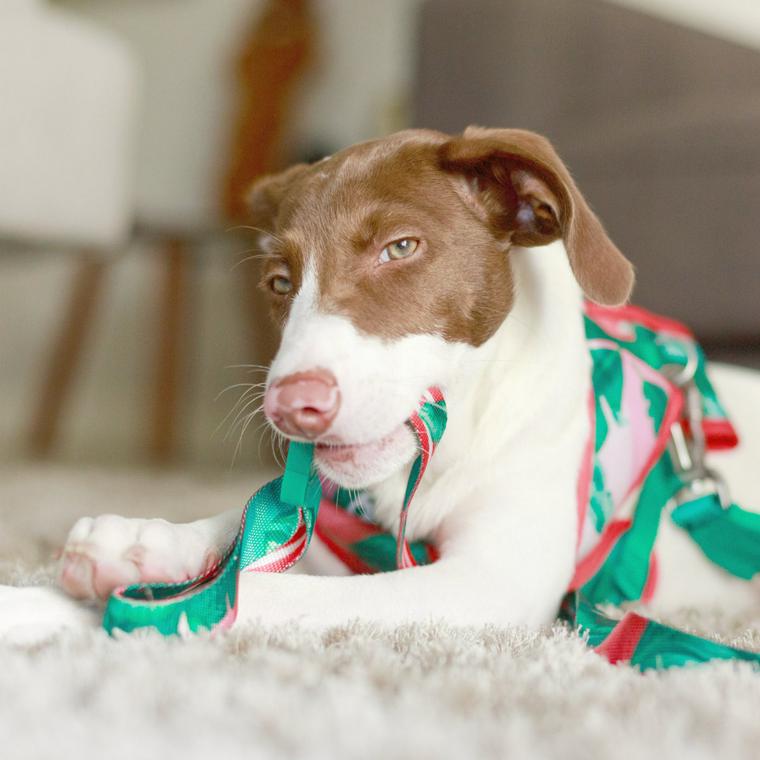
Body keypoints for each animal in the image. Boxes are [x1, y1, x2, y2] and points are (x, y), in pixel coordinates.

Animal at [1, 126, 760, 640]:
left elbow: (259, 597)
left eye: (401, 248)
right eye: (279, 283)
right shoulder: (342, 523)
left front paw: (73, 607)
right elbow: (242, 520)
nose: (291, 408)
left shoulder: (490, 582)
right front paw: (130, 545)